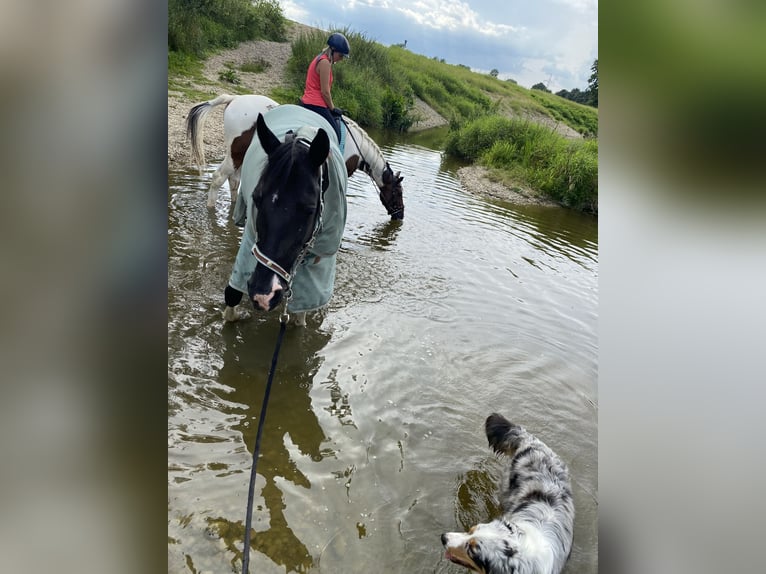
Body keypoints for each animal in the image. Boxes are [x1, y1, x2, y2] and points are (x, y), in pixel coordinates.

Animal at [186, 94, 404, 219]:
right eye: (397, 192)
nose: (400, 215)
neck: (355, 144)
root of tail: (234, 99)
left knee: (234, 181)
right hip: (236, 152)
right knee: (218, 178)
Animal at [223, 104, 349, 326]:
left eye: (309, 208)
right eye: (257, 198)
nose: (263, 295)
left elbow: (301, 317)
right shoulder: (251, 240)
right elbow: (232, 295)